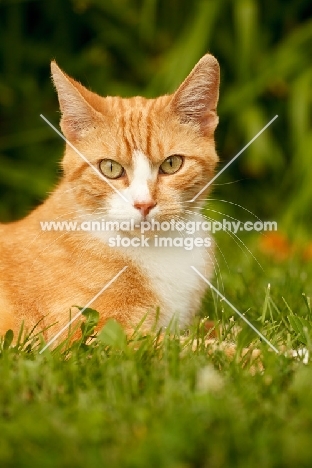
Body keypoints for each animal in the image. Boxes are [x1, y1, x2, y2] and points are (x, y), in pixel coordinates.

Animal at [0, 54, 219, 342]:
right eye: (110, 168)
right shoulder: (88, 333)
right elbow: (180, 345)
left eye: (171, 164)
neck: (157, 247)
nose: (144, 204)